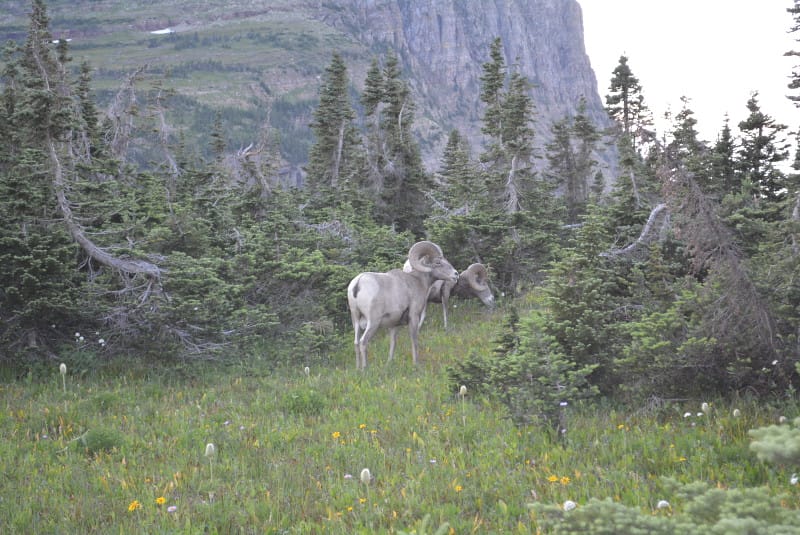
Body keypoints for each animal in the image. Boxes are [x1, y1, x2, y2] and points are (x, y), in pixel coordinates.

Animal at [348, 242, 456, 370]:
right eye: (438, 262)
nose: (456, 274)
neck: (417, 281)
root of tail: (358, 283)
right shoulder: (414, 317)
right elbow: (414, 340)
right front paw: (416, 364)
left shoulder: (394, 324)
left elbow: (393, 343)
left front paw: (389, 363)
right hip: (373, 322)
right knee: (363, 342)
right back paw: (365, 369)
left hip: (355, 320)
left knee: (356, 342)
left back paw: (357, 369)